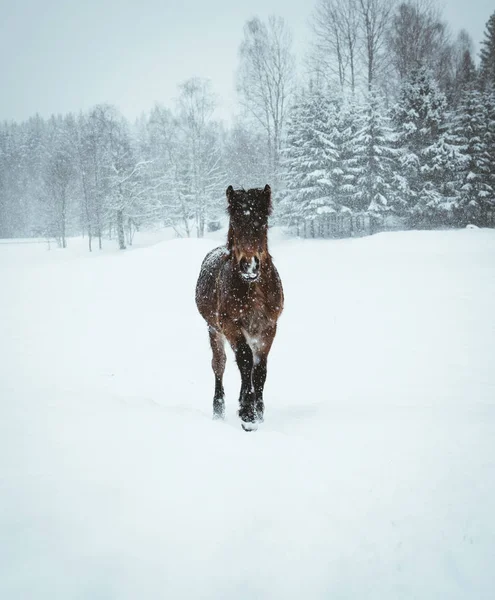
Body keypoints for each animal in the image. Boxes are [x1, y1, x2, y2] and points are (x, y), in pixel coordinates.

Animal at [196, 184, 284, 432]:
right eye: (234, 221)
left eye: (262, 220)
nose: (250, 265)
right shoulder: (231, 326)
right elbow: (244, 361)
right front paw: (247, 414)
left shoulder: (268, 328)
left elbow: (259, 369)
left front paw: (258, 412)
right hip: (213, 330)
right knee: (219, 365)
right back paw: (218, 412)